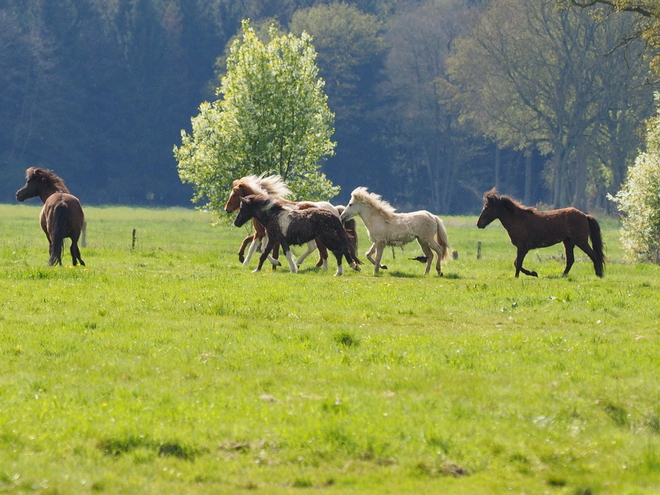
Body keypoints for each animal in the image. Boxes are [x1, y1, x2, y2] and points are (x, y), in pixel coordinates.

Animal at [474, 188, 604, 278]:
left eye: (486, 207)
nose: (479, 224)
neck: (518, 219)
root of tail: (585, 216)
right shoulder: (522, 248)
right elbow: (517, 263)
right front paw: (531, 274)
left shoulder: (522, 247)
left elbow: (517, 263)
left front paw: (525, 275)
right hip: (568, 242)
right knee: (571, 260)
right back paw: (563, 275)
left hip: (580, 241)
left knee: (594, 255)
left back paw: (599, 274)